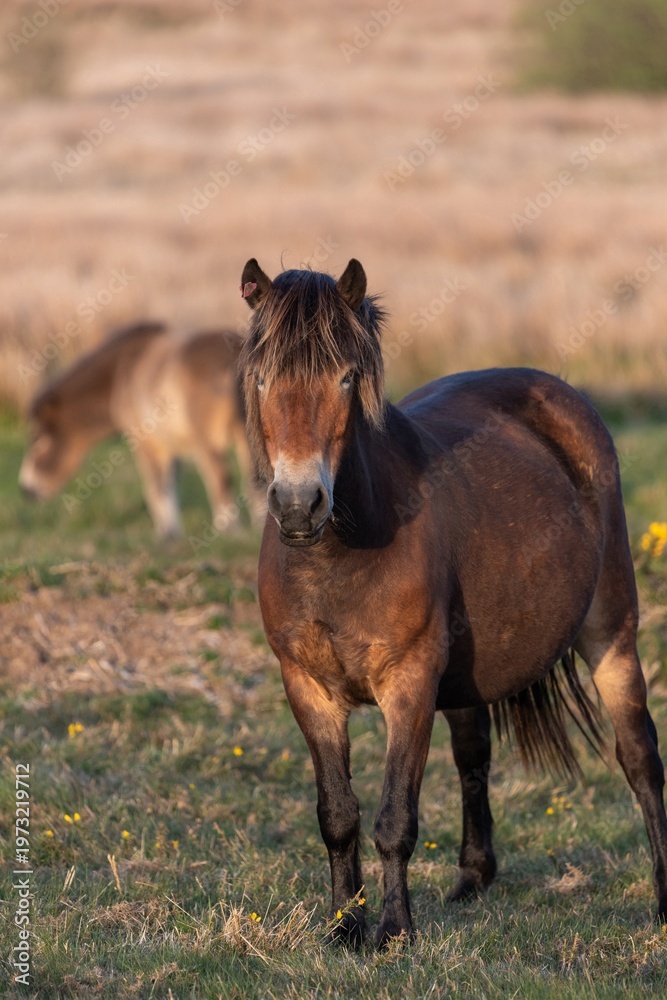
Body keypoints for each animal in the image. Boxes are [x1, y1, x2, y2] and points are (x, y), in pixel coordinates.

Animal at [20, 322, 258, 538]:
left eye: (39, 439)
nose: (26, 489)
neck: (122, 372)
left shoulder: (145, 443)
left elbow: (155, 488)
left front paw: (167, 533)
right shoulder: (168, 444)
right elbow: (170, 485)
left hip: (209, 444)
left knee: (219, 479)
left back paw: (228, 530)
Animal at [238, 257, 667, 949]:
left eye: (346, 376)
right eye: (260, 376)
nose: (299, 505)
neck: (341, 555)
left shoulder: (409, 683)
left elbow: (394, 818)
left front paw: (394, 931)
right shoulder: (307, 687)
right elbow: (338, 816)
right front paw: (343, 927)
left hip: (612, 632)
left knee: (640, 759)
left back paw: (661, 903)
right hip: (468, 671)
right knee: (473, 754)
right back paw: (472, 880)